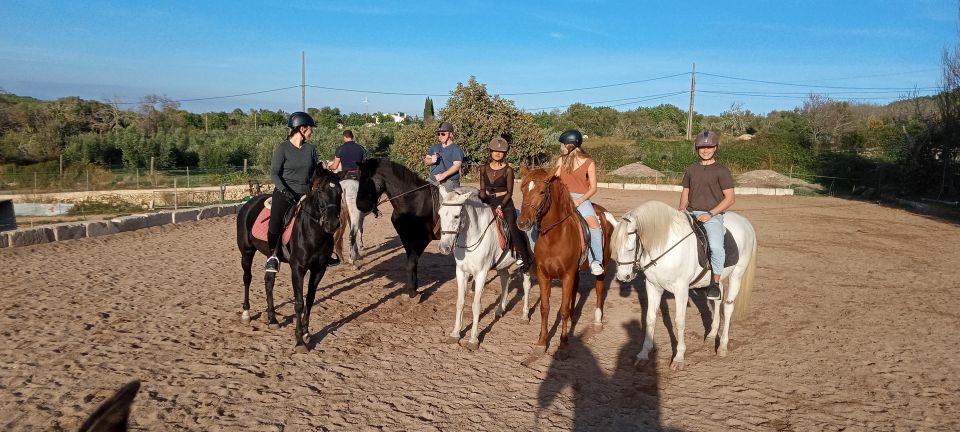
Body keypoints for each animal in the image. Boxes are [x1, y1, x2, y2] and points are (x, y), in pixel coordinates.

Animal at [235, 167, 342, 352]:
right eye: (320, 191)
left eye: (340, 192)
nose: (332, 223)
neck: (313, 232)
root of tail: (250, 203)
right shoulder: (297, 269)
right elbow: (299, 302)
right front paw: (299, 341)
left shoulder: (319, 269)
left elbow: (310, 300)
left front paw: (306, 333)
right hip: (247, 252)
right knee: (247, 278)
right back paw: (246, 314)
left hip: (271, 256)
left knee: (268, 281)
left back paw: (272, 319)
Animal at [354, 159, 440, 300]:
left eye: (367, 180)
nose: (360, 206)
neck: (414, 201)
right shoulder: (406, 239)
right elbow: (411, 263)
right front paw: (413, 289)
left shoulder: (422, 239)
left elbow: (411, 264)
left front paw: (413, 293)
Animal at [436, 187, 532, 350]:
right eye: (440, 214)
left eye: (456, 216)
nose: (444, 248)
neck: (472, 236)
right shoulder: (461, 272)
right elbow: (460, 302)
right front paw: (455, 334)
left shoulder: (481, 273)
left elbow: (475, 306)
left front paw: (473, 339)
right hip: (502, 265)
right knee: (505, 280)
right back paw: (499, 310)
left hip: (527, 264)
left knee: (526, 285)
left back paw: (525, 315)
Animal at [516, 167, 616, 350]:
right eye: (522, 190)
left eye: (542, 192)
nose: (523, 223)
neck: (554, 238)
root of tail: (603, 212)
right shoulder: (544, 275)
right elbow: (545, 307)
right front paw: (542, 341)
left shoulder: (567, 275)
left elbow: (562, 309)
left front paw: (563, 341)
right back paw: (572, 317)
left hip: (602, 265)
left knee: (599, 289)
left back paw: (597, 321)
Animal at [616, 201, 756, 370]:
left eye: (630, 248)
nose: (623, 277)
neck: (665, 246)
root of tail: (745, 222)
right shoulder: (653, 286)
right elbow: (650, 318)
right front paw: (643, 354)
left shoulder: (681, 289)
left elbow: (679, 321)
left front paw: (679, 358)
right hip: (717, 279)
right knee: (717, 300)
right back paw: (711, 336)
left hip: (737, 275)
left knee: (728, 308)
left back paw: (722, 346)